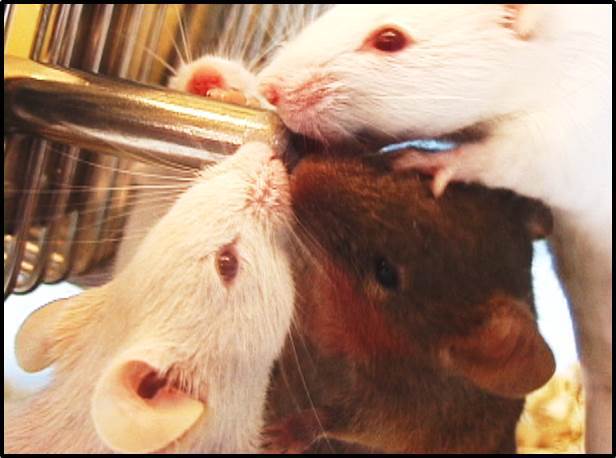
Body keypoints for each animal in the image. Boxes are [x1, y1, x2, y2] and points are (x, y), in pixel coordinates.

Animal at [262, 155, 555, 453]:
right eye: (424, 179)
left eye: (385, 272)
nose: (300, 172)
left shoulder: (392, 415)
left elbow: (334, 419)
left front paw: (276, 437)